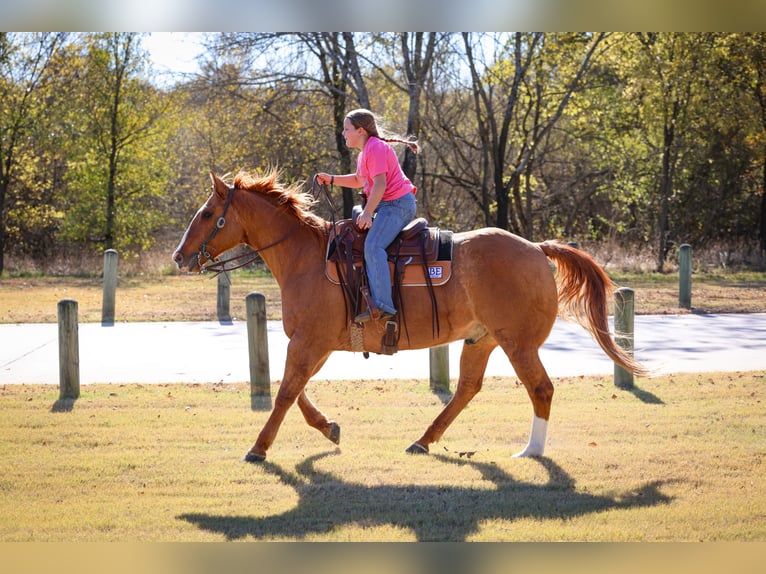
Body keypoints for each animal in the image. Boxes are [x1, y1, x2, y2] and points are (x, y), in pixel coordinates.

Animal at [173, 169, 647, 462]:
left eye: (208, 214)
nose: (180, 256)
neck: (305, 256)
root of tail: (535, 248)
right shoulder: (313, 344)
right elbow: (294, 391)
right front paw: (329, 428)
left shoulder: (309, 342)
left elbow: (287, 391)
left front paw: (259, 448)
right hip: (482, 340)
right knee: (466, 390)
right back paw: (423, 441)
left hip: (518, 343)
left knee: (541, 389)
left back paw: (531, 450)